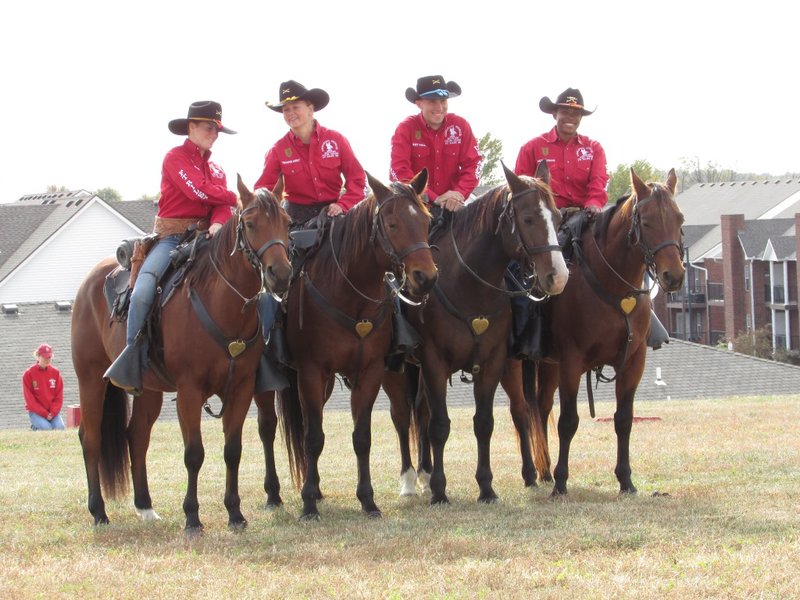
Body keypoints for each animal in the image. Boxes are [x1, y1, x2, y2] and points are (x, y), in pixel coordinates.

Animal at [72, 176, 290, 532]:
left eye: (287, 222)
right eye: (250, 223)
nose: (280, 274)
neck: (220, 303)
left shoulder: (241, 388)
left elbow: (232, 450)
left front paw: (235, 513)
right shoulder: (189, 391)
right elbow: (194, 454)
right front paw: (192, 517)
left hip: (148, 389)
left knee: (137, 435)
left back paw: (145, 506)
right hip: (90, 377)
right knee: (90, 437)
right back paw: (99, 512)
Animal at [255, 170, 438, 520]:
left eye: (426, 220)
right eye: (392, 223)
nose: (426, 278)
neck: (347, 292)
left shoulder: (369, 372)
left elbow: (361, 437)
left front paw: (367, 500)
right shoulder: (311, 373)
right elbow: (313, 438)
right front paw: (308, 504)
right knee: (268, 428)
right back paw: (274, 494)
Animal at [382, 162, 568, 504]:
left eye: (558, 217)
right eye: (528, 218)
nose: (558, 277)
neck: (467, 283)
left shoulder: (493, 362)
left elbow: (484, 423)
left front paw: (486, 487)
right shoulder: (435, 363)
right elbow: (440, 425)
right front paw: (440, 491)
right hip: (396, 371)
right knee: (403, 417)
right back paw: (410, 481)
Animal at [500, 166, 688, 494]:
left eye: (679, 219)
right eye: (647, 222)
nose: (673, 275)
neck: (613, 285)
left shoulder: (632, 362)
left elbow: (623, 419)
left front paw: (625, 479)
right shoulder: (573, 362)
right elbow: (568, 421)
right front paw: (562, 481)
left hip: (548, 365)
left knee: (542, 407)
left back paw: (545, 470)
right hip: (514, 364)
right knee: (521, 412)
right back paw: (532, 473)